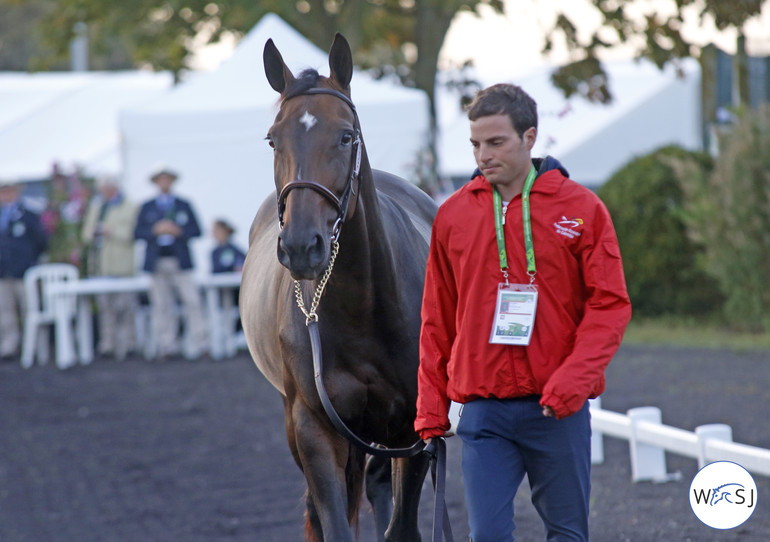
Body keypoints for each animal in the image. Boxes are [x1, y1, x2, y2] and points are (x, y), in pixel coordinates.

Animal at [243, 35, 438, 542]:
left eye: (347, 136)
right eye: (273, 139)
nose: (300, 246)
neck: (360, 309)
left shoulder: (413, 431)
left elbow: (401, 527)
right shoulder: (315, 428)